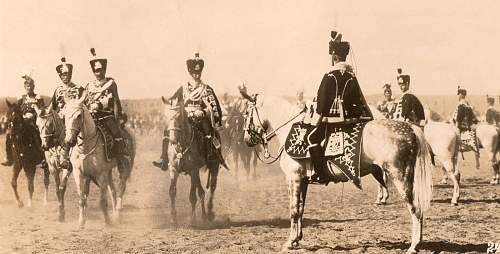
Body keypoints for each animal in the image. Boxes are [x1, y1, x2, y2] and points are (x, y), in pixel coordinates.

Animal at [242, 92, 434, 253]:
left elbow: (294, 210)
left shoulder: (294, 178)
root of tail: (410, 129)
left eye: (246, 113)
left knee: (415, 208)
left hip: (400, 177)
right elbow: (301, 209)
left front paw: (289, 242)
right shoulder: (303, 181)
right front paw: (297, 239)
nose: (247, 139)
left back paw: (414, 246)